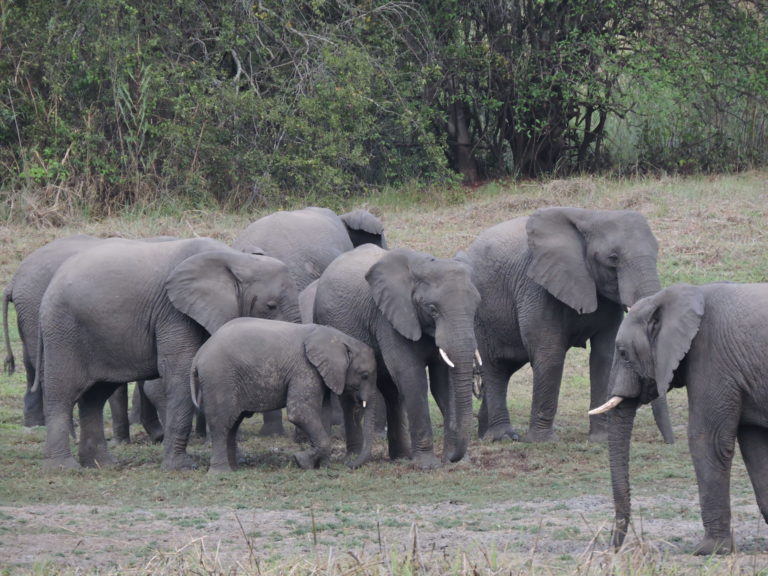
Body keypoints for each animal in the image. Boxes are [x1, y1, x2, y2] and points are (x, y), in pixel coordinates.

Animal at [36, 237, 300, 470]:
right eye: (271, 306)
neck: (236, 259)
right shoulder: (173, 312)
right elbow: (180, 373)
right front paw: (180, 467)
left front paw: (238, 461)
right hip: (63, 331)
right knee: (62, 394)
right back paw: (64, 467)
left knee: (95, 397)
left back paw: (102, 464)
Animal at [190, 318, 377, 471]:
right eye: (365, 375)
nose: (348, 464)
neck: (340, 339)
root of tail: (198, 355)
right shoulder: (305, 368)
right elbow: (300, 412)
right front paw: (301, 461)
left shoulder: (320, 373)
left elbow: (323, 414)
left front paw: (321, 466)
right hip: (219, 377)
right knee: (222, 422)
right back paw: (222, 472)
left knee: (233, 423)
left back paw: (235, 468)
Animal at [313, 244, 481, 469]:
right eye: (433, 309)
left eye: (476, 307)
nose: (453, 456)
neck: (422, 265)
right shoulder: (388, 317)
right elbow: (412, 376)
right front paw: (428, 465)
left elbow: (442, 383)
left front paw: (457, 461)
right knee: (350, 396)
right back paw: (353, 458)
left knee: (392, 393)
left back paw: (401, 456)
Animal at [458, 207, 674, 444]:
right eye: (613, 259)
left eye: (656, 253)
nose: (669, 442)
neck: (589, 216)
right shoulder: (537, 285)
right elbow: (550, 354)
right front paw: (542, 442)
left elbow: (605, 356)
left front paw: (600, 439)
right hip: (478, 313)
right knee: (494, 366)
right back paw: (503, 436)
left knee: (506, 367)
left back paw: (484, 434)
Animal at [591, 283, 768, 555]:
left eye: (622, 352)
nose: (612, 549)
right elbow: (756, 446)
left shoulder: (711, 357)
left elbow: (708, 439)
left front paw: (708, 550)